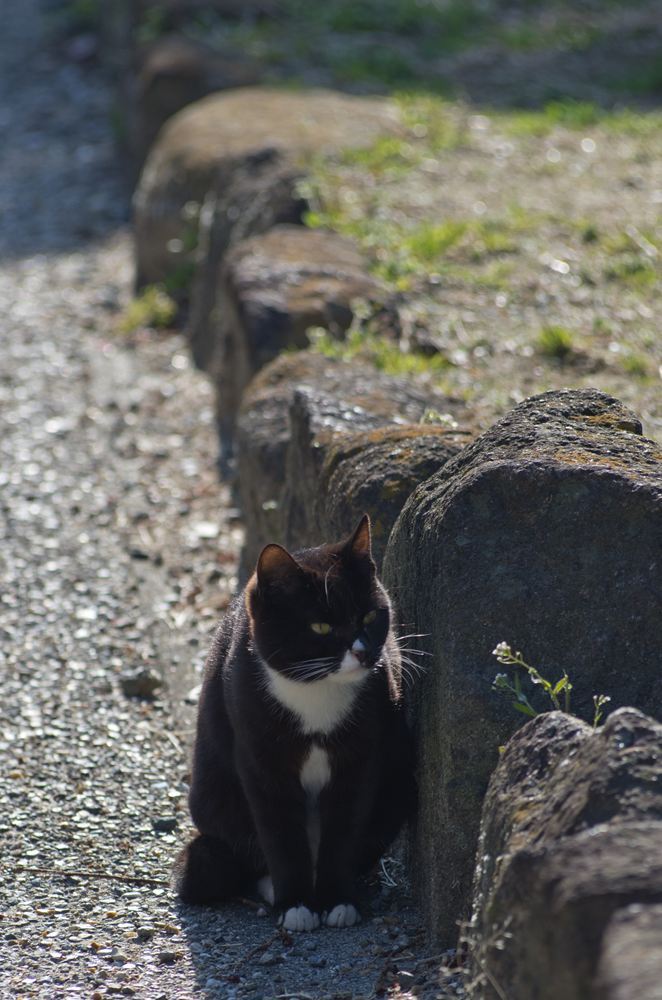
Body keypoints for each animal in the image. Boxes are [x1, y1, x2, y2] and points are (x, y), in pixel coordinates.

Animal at [174, 516, 418, 928]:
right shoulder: (259, 757)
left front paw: (338, 902)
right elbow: (280, 833)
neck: (316, 691)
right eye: (320, 627)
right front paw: (296, 905)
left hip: (396, 788)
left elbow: (345, 828)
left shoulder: (362, 756)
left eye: (370, 616)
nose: (363, 652)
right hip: (214, 800)